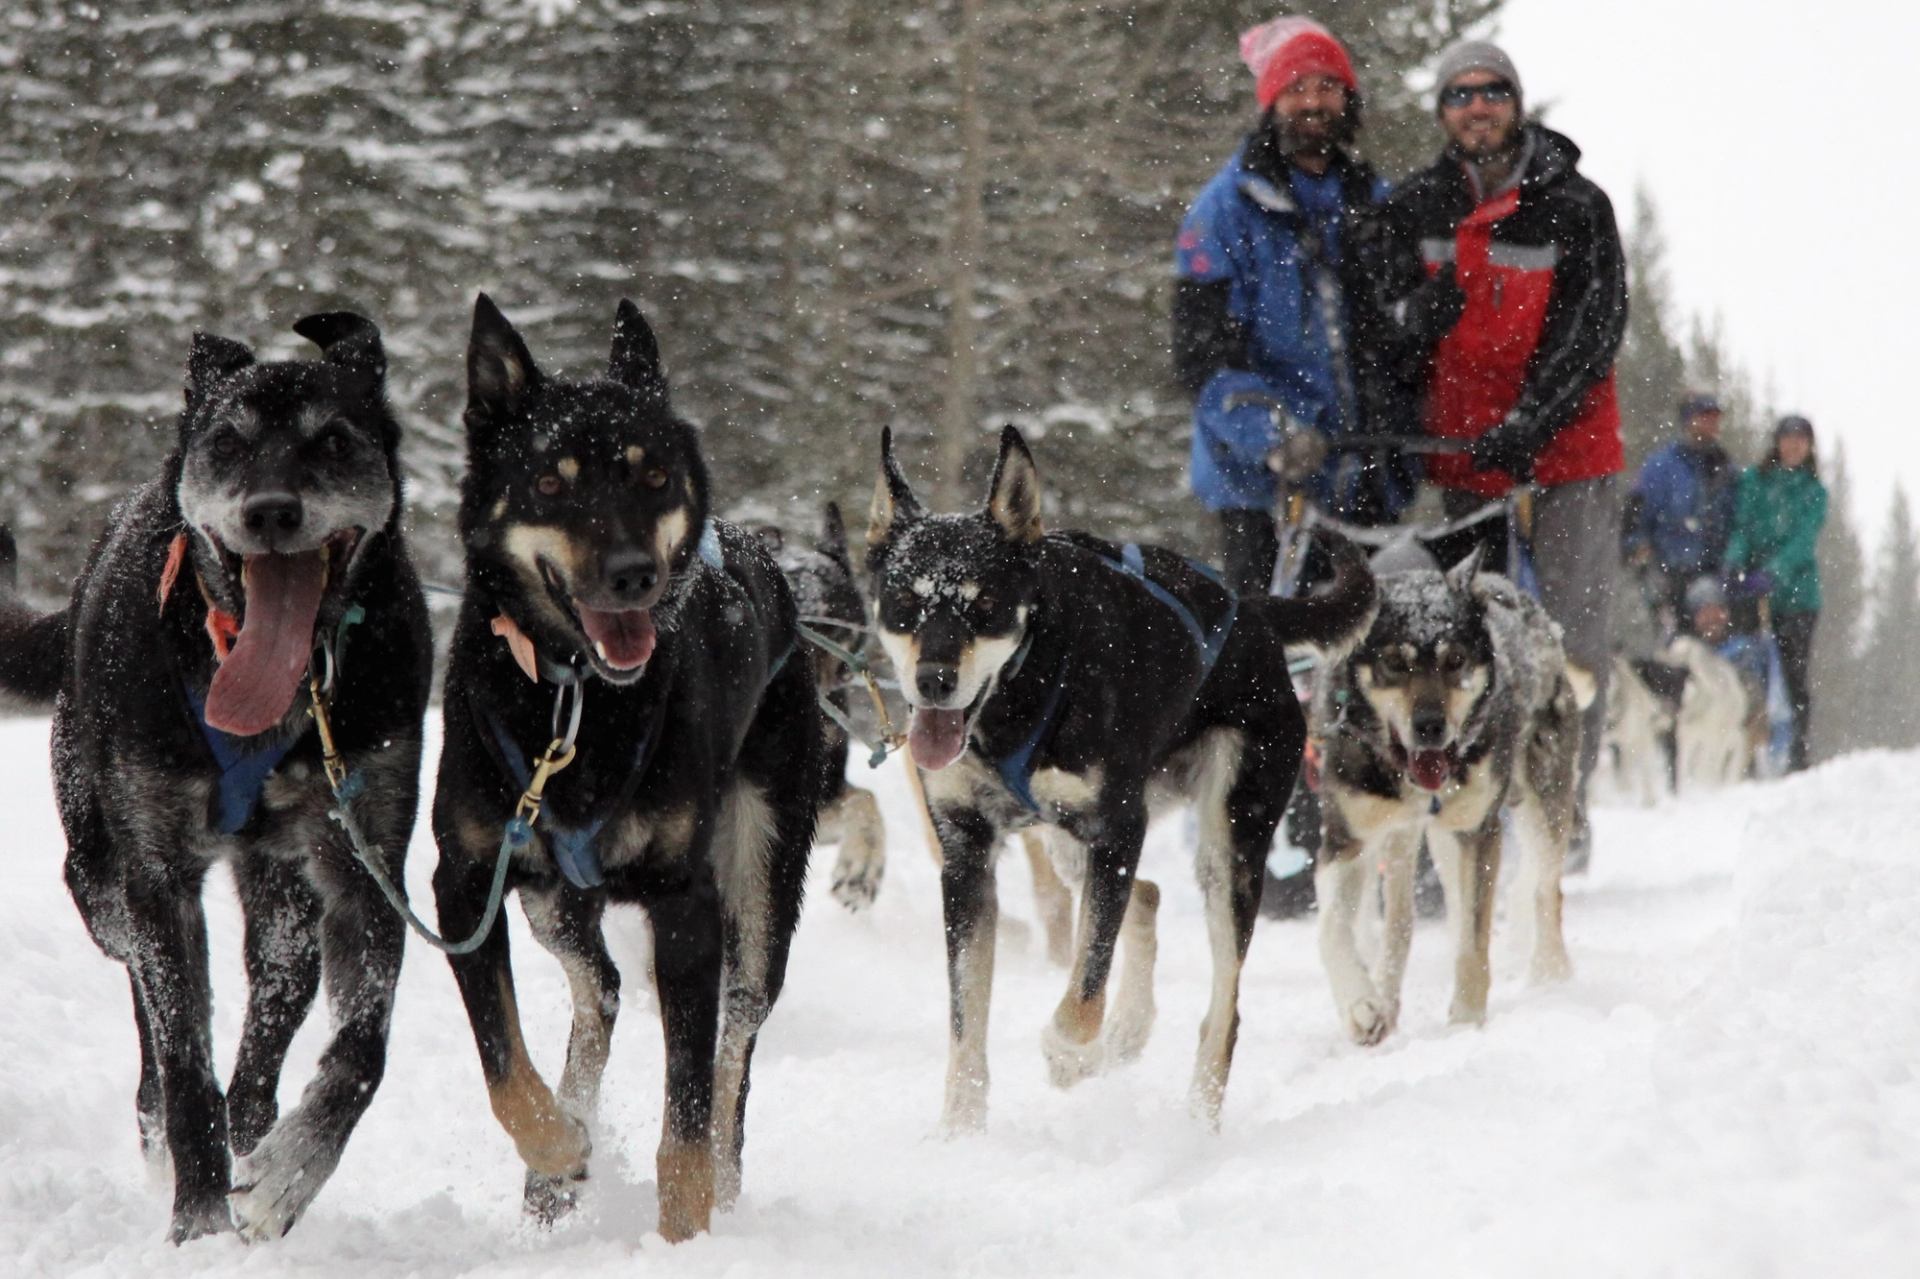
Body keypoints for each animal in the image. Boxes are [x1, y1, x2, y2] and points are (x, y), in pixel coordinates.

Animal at [0, 316, 432, 1242]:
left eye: (332, 439)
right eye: (227, 443)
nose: (270, 511)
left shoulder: (364, 873)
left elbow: (361, 1051)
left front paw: (290, 1172)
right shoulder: (159, 881)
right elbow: (185, 1058)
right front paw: (198, 1219)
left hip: (285, 908)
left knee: (272, 1015)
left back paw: (257, 1126)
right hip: (102, 885)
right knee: (149, 1016)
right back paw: (167, 1136)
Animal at [429, 295, 822, 1242]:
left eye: (652, 478)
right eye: (550, 483)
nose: (633, 573)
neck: (576, 700)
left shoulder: (687, 904)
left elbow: (687, 1110)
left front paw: (684, 1237)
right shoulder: (465, 883)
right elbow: (502, 1062)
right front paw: (556, 1147)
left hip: (760, 886)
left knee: (733, 1045)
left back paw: (724, 1180)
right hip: (548, 897)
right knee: (599, 986)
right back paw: (557, 1163)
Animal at [866, 425, 1375, 1130]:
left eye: (986, 605)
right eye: (905, 603)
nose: (933, 680)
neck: (1025, 691)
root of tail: (1250, 612)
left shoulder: (1115, 830)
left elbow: (1084, 986)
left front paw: (1070, 1055)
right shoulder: (967, 855)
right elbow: (967, 1019)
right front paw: (959, 1134)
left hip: (1227, 845)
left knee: (1223, 1007)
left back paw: (1194, 1122)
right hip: (1067, 841)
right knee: (1149, 895)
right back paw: (1129, 1030)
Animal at [1311, 549, 1588, 1046]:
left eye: (1455, 659)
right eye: (1394, 662)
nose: (1430, 726)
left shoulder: (1477, 831)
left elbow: (1473, 942)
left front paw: (1465, 1021)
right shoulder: (1347, 838)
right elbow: (1333, 928)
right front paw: (1362, 1005)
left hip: (1541, 802)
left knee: (1543, 892)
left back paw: (1550, 973)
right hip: (1414, 840)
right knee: (1404, 921)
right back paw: (1386, 998)